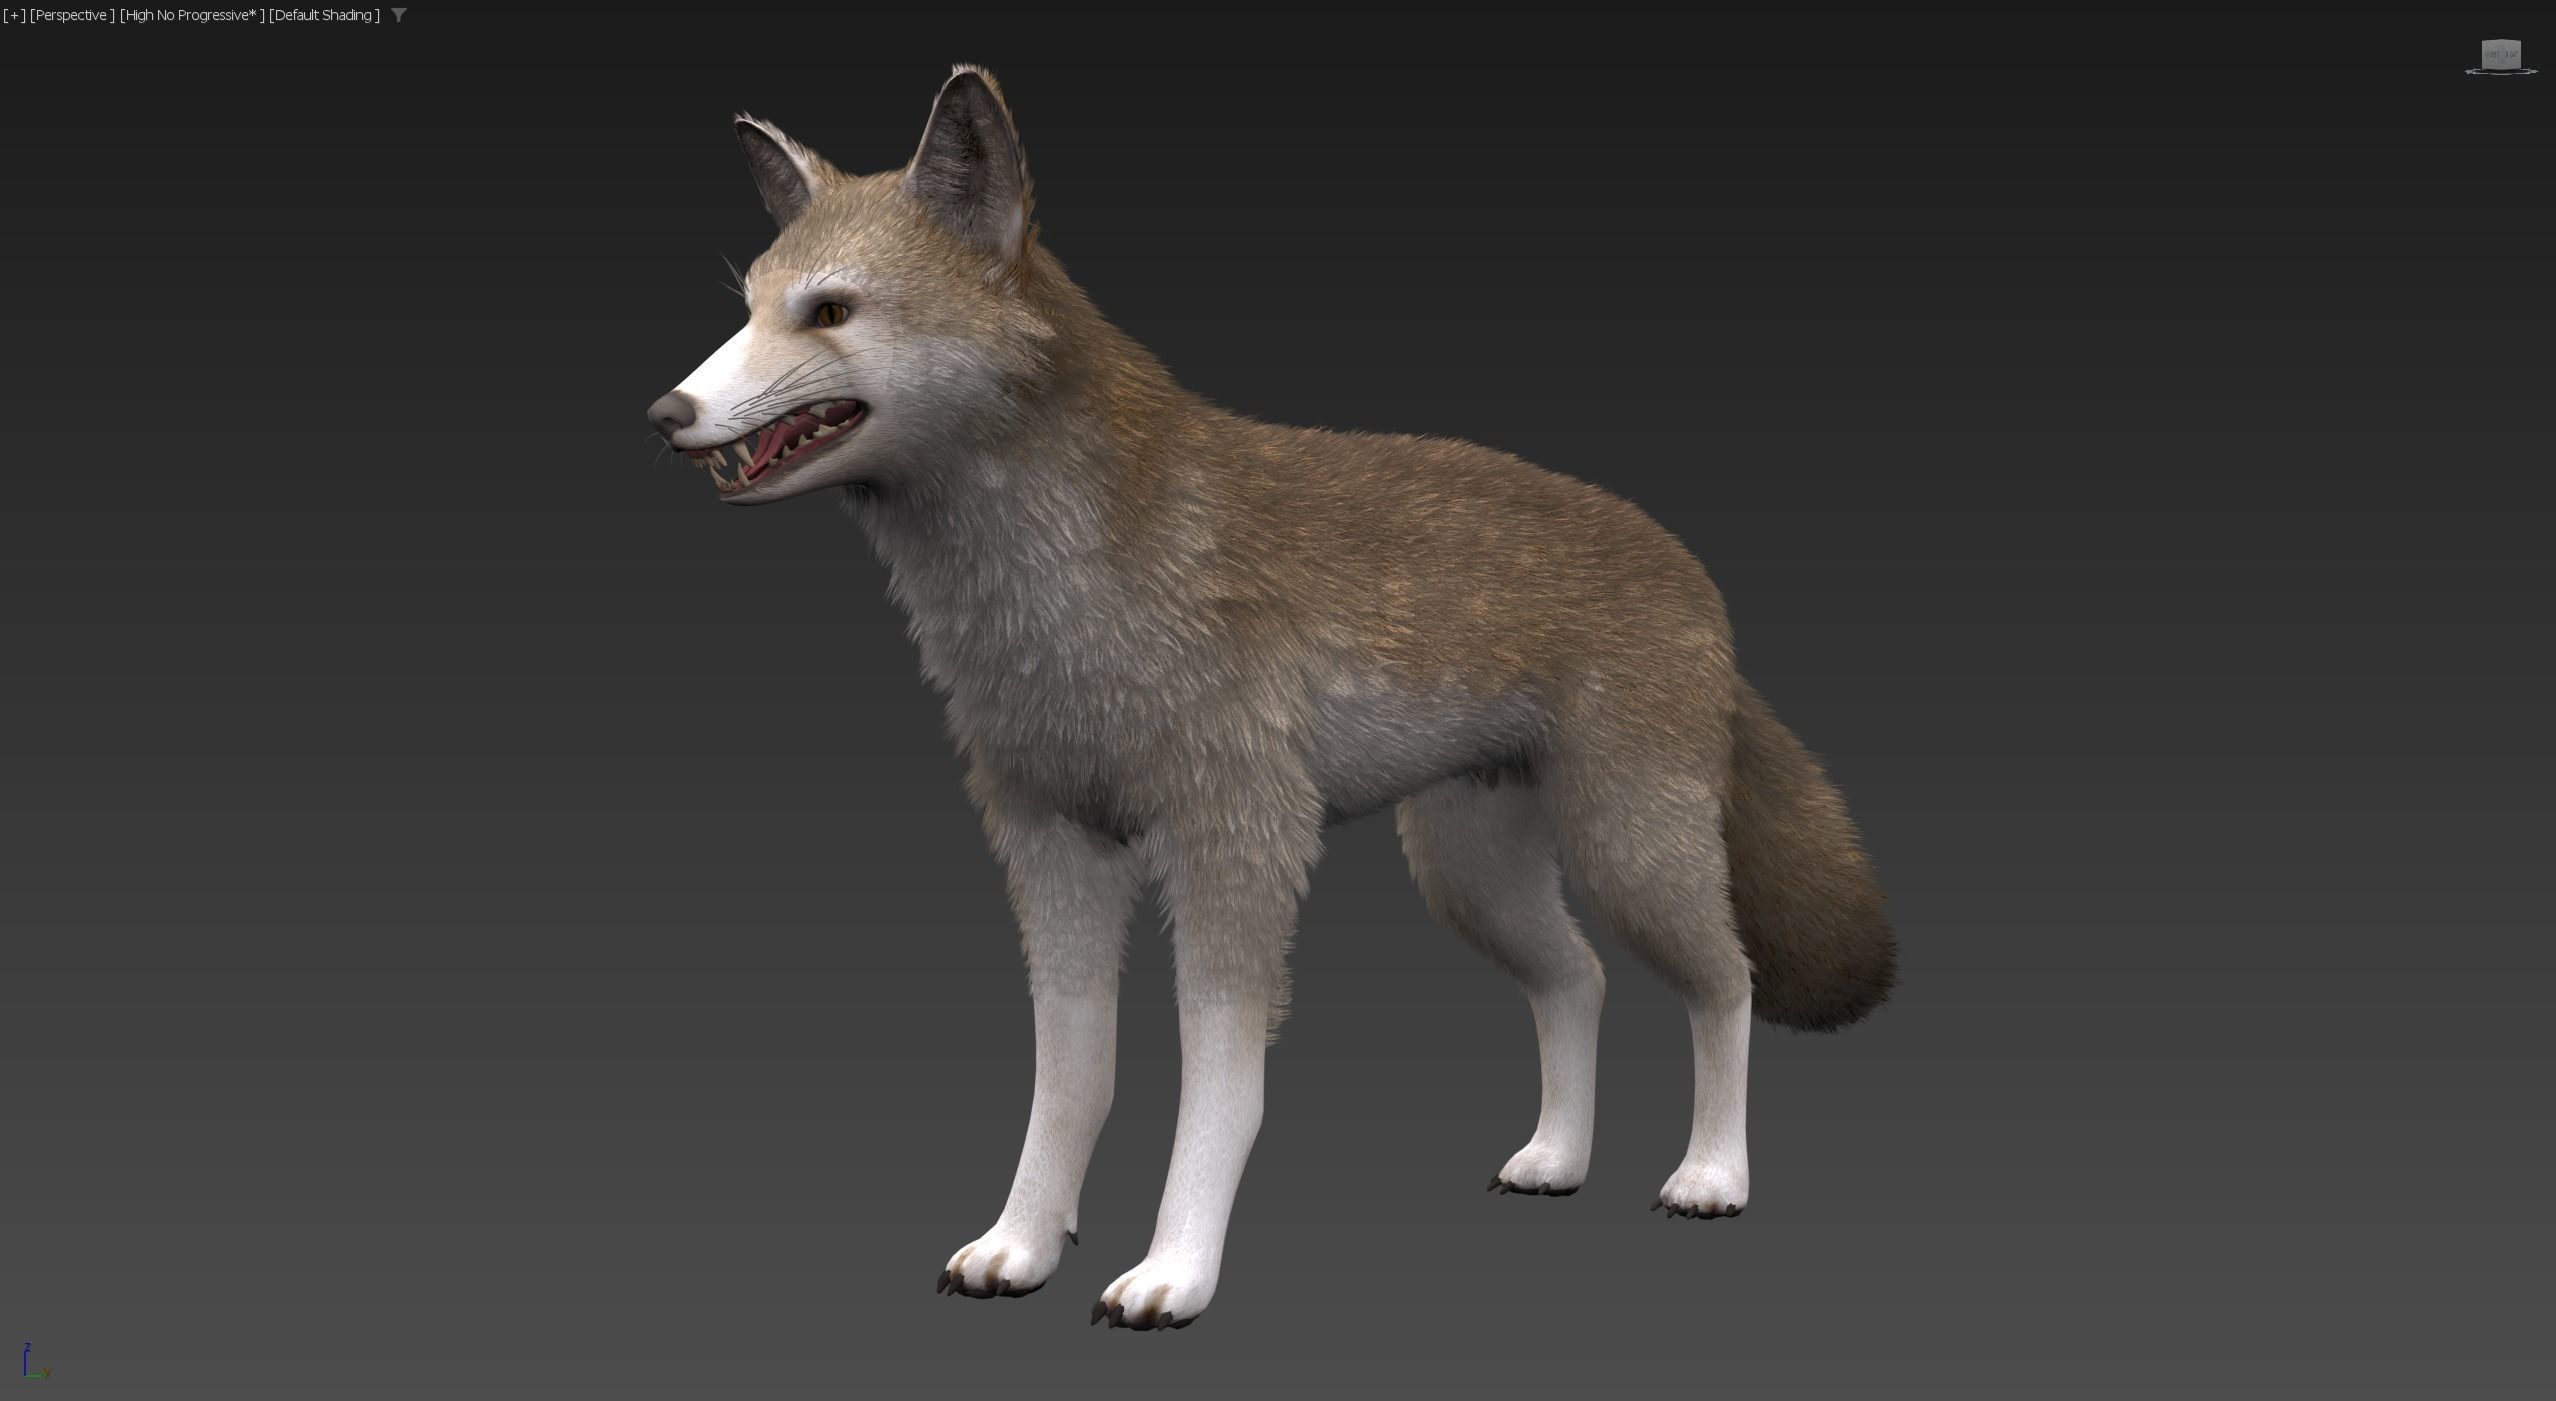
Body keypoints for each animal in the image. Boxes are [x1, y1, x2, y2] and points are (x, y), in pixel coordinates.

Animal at [645, 65, 1895, 1330]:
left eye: (830, 314)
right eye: (748, 307)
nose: (666, 414)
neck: (1056, 605)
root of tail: (1688, 568)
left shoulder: (1235, 843)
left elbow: (1220, 1090)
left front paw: (1174, 1272)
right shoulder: (1054, 844)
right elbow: (1071, 1082)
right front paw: (1022, 1243)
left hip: (1625, 849)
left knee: (1726, 984)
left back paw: (1712, 1176)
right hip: (1474, 877)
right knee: (1578, 982)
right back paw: (1556, 1160)